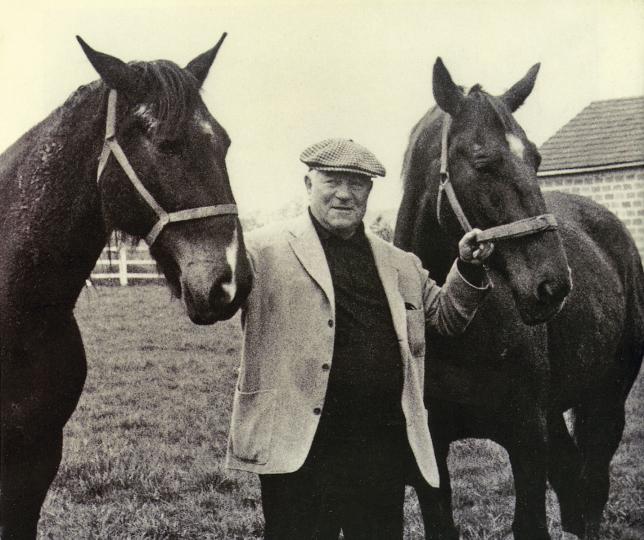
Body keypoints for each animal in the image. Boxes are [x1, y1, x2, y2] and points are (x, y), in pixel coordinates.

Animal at [394, 57, 644, 536]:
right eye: (482, 160)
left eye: (536, 158)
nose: (553, 286)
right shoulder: (429, 453)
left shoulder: (527, 438)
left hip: (607, 398)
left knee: (592, 489)